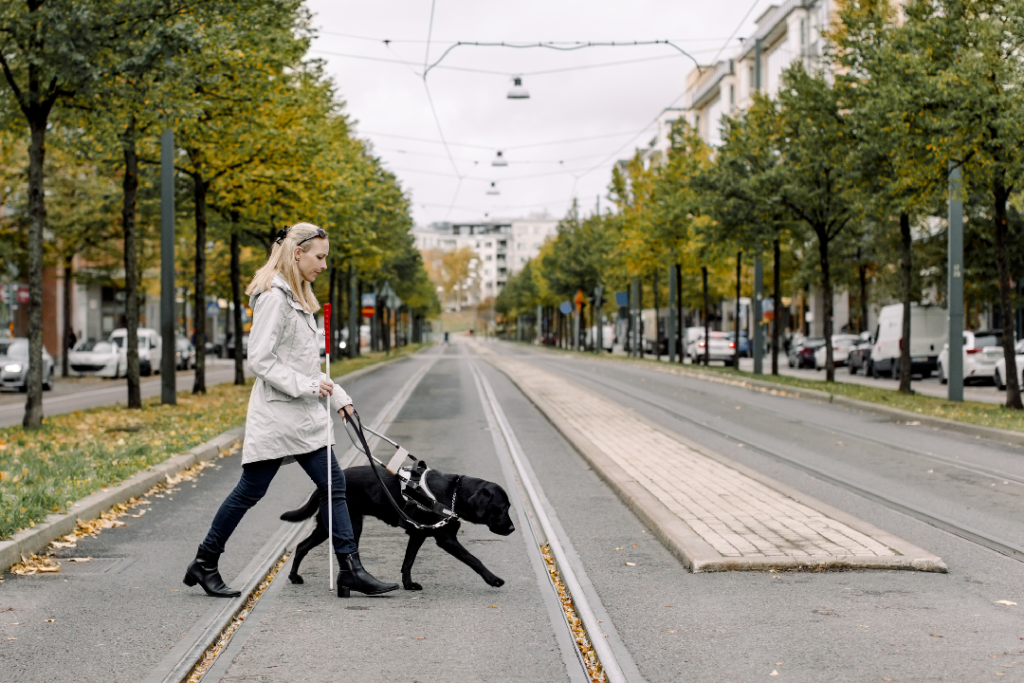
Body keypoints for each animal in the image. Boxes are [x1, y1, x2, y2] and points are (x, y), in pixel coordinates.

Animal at [280, 466, 516, 589]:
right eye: (502, 508)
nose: (513, 529)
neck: (454, 494)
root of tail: (324, 486)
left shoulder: (418, 534)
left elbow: (408, 562)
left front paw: (408, 584)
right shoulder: (446, 539)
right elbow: (474, 559)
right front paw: (493, 579)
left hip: (329, 525)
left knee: (301, 546)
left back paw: (294, 577)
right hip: (346, 525)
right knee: (309, 547)